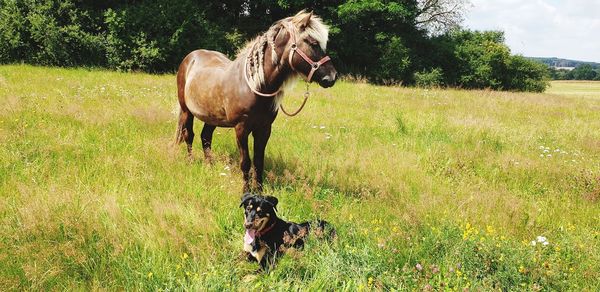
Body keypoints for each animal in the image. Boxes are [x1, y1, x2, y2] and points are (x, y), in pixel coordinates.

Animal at [176, 10, 340, 192]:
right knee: (189, 135)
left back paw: (209, 166)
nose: (332, 77)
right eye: (313, 43)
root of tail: (190, 57)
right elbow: (245, 162)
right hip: (187, 111)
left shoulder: (264, 129)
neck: (255, 85)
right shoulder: (241, 129)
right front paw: (246, 191)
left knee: (206, 137)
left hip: (212, 117)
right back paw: (191, 162)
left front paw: (259, 190)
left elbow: (258, 161)